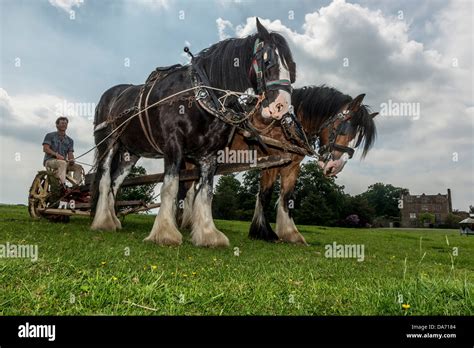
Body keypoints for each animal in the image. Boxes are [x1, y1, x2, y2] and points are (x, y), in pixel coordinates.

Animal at [90, 19, 296, 247]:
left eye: (291, 66)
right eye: (268, 61)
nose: (281, 106)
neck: (200, 97)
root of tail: (109, 96)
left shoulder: (210, 155)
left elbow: (206, 192)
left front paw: (208, 235)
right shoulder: (173, 146)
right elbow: (170, 187)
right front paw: (165, 233)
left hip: (130, 152)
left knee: (115, 182)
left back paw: (113, 220)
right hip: (107, 143)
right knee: (105, 179)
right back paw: (103, 221)